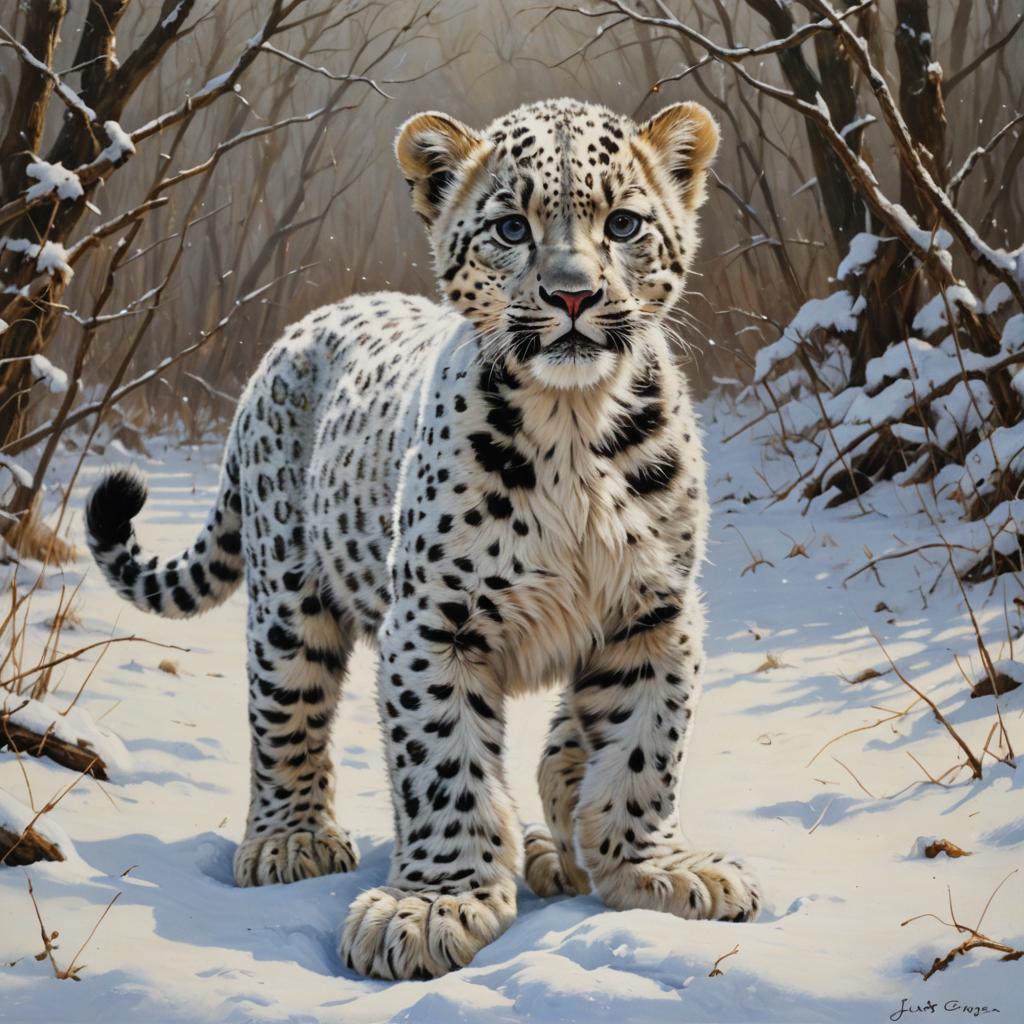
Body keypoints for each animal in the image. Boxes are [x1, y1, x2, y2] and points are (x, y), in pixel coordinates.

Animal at [85, 97, 761, 981]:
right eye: (510, 227)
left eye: (623, 224)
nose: (573, 296)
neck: (574, 428)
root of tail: (303, 326)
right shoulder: (435, 623)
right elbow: (444, 764)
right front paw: (437, 904)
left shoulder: (653, 613)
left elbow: (644, 746)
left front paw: (651, 868)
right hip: (288, 600)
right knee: (285, 713)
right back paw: (290, 843)